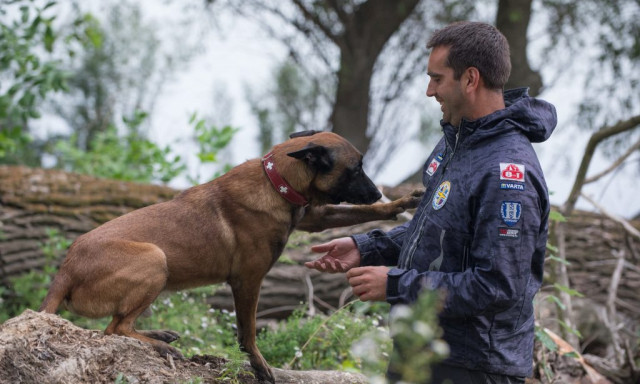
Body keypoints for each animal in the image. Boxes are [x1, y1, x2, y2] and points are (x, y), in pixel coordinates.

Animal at [38, 130, 420, 382]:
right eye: (355, 169)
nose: (377, 193)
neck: (275, 181)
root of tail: (66, 269)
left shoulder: (313, 215)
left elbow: (355, 213)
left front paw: (401, 204)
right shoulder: (247, 281)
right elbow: (248, 332)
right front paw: (260, 366)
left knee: (118, 327)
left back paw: (159, 336)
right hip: (155, 258)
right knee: (114, 328)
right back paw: (160, 345)